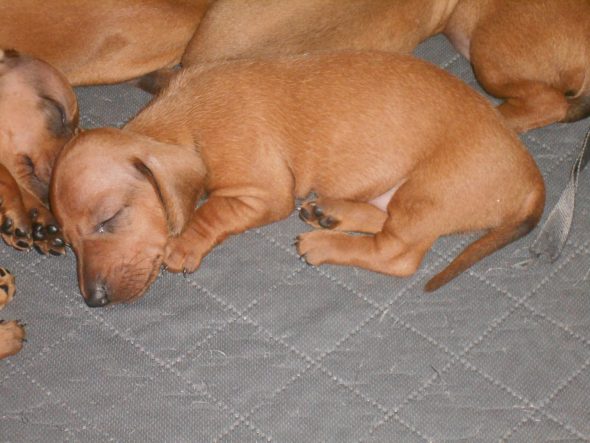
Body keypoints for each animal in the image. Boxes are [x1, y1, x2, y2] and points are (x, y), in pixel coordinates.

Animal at [50, 52, 545, 306]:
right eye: (65, 241)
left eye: (109, 219)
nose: (93, 300)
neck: (182, 122)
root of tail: (530, 179)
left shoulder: (263, 193)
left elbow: (211, 210)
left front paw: (184, 243)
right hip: (401, 192)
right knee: (380, 219)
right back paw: (332, 213)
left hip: (426, 194)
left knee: (396, 254)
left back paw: (325, 244)